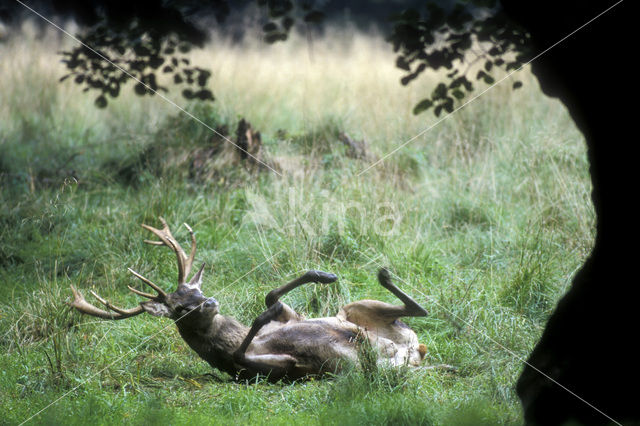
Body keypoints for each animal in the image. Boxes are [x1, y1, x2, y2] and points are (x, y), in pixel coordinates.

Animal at [69, 218, 430, 382]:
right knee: (415, 318)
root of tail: (415, 350)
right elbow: (245, 350)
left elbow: (272, 296)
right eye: (181, 308)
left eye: (194, 290)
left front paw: (323, 274)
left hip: (355, 309)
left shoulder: (292, 317)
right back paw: (385, 279)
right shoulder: (272, 370)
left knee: (415, 310)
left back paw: (383, 276)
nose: (209, 301)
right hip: (374, 367)